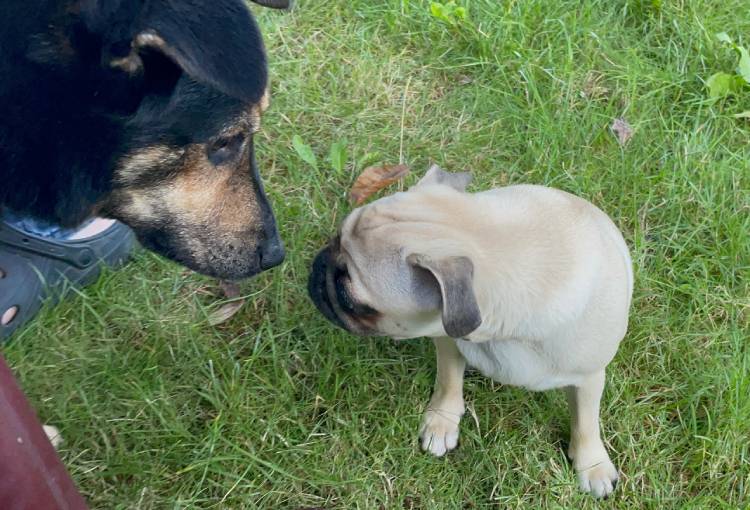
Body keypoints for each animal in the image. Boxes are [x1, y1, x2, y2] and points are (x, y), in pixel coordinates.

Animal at [308, 165, 633, 498]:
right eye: (335, 238)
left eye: (351, 299)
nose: (318, 267)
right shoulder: (446, 339)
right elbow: (449, 381)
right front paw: (442, 421)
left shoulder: (589, 378)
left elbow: (586, 423)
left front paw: (592, 465)